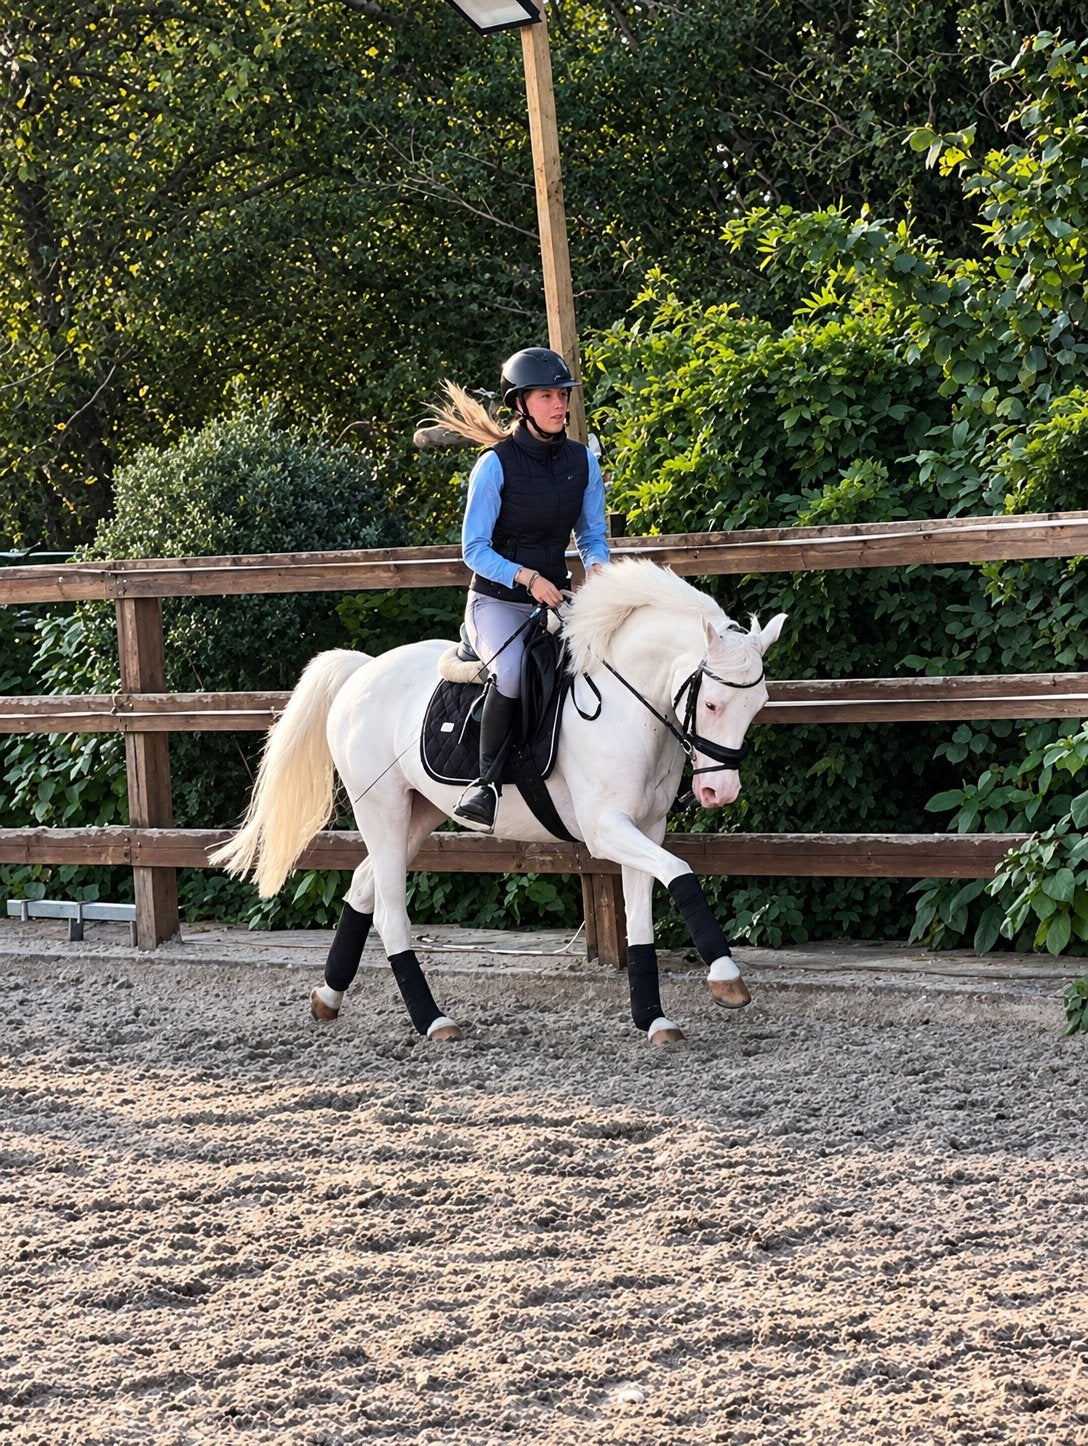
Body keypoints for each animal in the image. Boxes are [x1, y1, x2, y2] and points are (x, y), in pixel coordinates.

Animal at [210, 558, 786, 1045]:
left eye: (758, 705)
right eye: (712, 704)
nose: (719, 792)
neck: (627, 706)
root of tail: (362, 670)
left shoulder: (646, 829)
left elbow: (643, 917)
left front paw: (654, 1020)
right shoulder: (607, 830)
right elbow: (682, 873)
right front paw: (727, 979)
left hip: (418, 813)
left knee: (363, 885)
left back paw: (328, 998)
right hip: (383, 809)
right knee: (390, 912)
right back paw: (433, 1021)